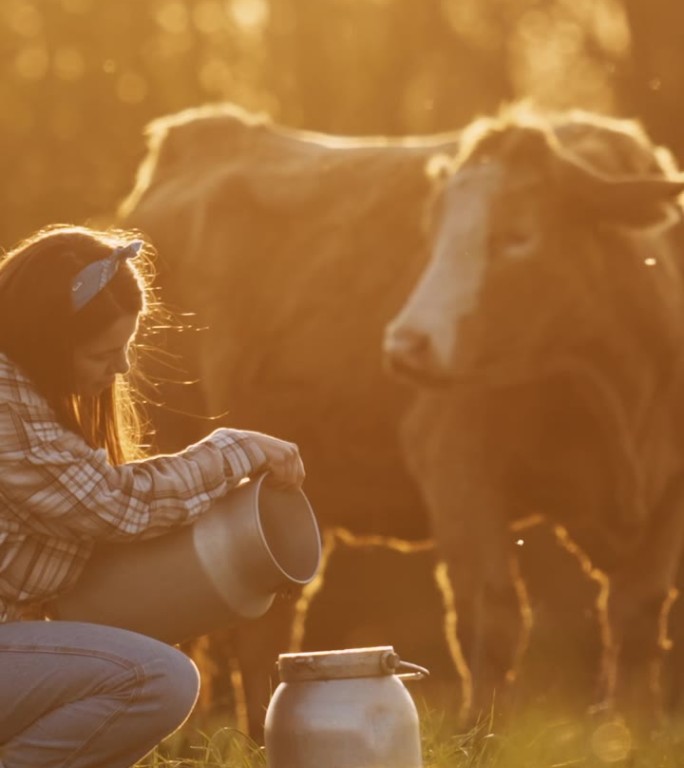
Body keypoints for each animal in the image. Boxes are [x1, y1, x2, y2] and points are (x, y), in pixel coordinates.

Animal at [384, 105, 684, 724]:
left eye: (518, 236)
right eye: (433, 235)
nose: (405, 346)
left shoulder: (673, 492)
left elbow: (639, 617)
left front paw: (629, 729)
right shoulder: (454, 460)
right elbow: (490, 616)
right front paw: (479, 733)